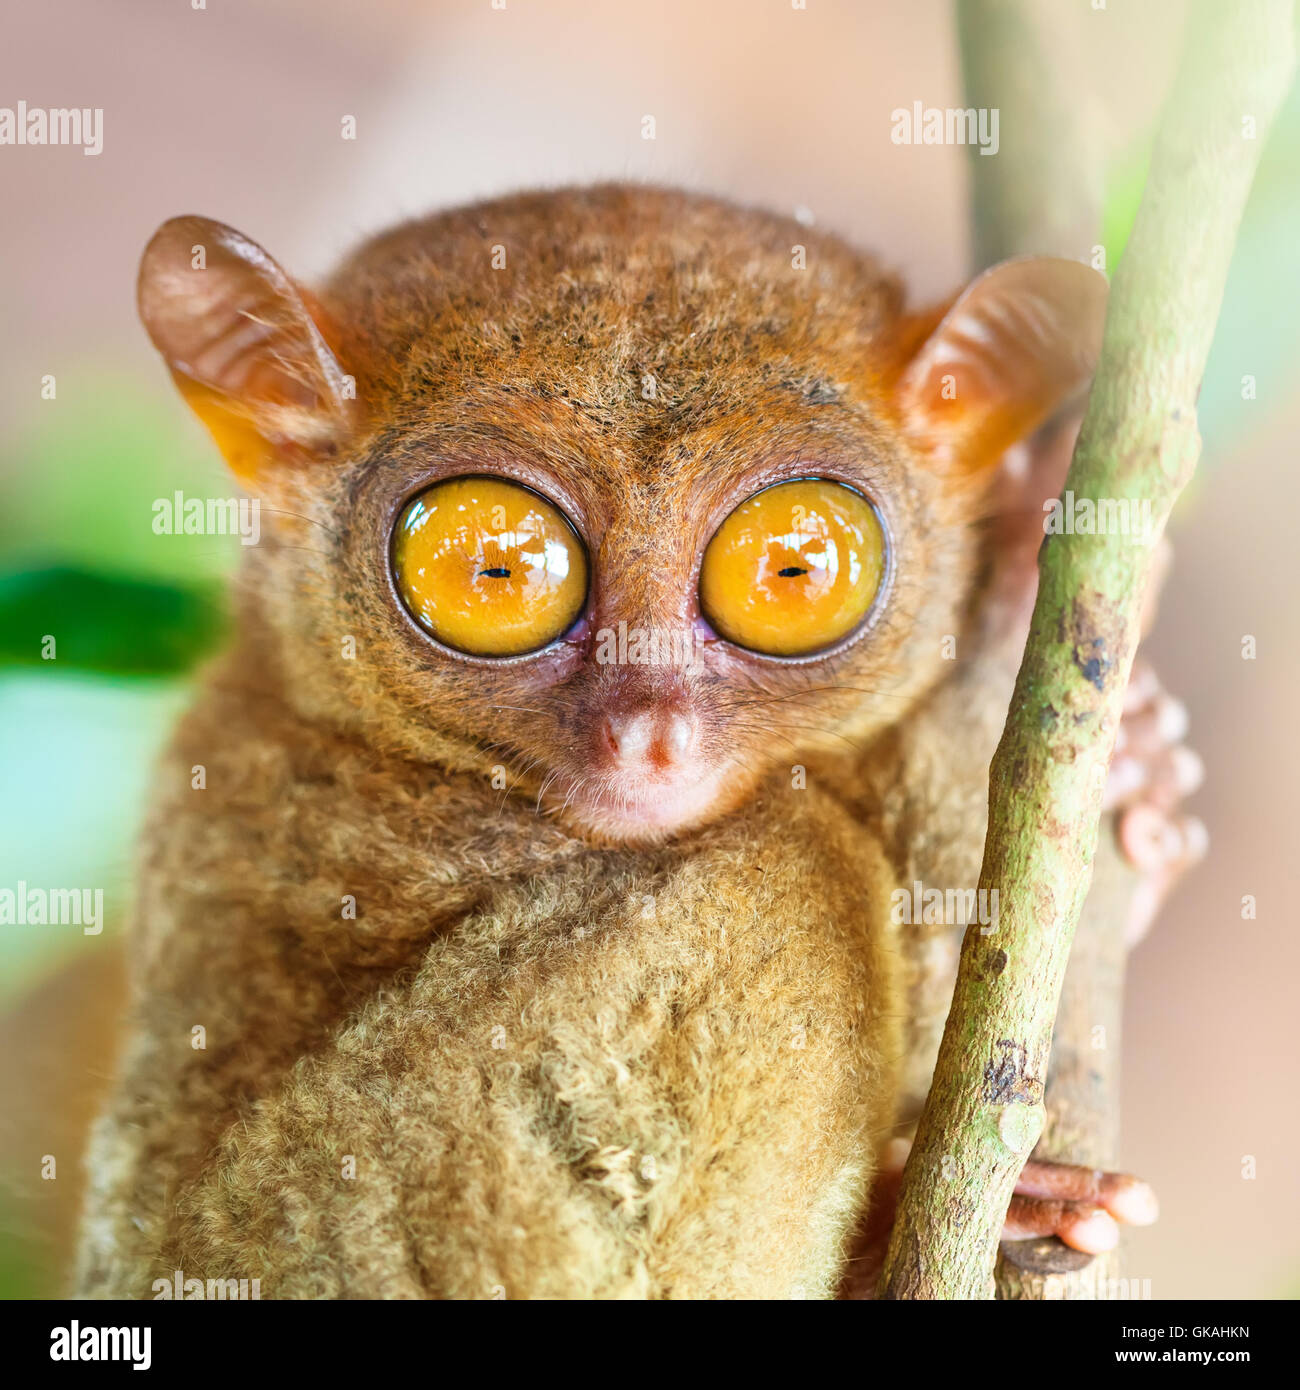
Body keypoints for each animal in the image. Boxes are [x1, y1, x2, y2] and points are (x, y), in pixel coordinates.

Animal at [75, 185, 1202, 1299]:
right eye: (493, 569)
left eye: (794, 569)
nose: (649, 732)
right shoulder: (399, 836)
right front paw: (1026, 598)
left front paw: (1151, 775)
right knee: (803, 862)